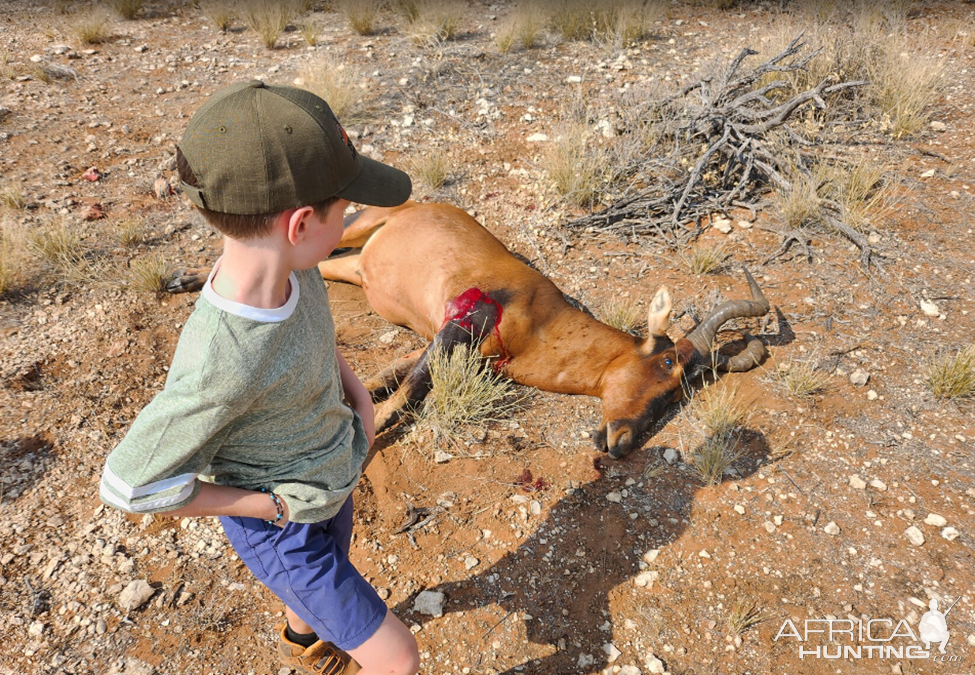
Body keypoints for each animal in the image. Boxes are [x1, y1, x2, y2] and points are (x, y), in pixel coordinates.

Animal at [173, 201, 772, 460]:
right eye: (666, 363)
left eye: (682, 393)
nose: (620, 443)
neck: (542, 314)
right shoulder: (457, 325)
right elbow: (405, 398)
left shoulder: (443, 343)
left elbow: (387, 381)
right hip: (356, 227)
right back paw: (188, 279)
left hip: (356, 268)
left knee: (320, 267)